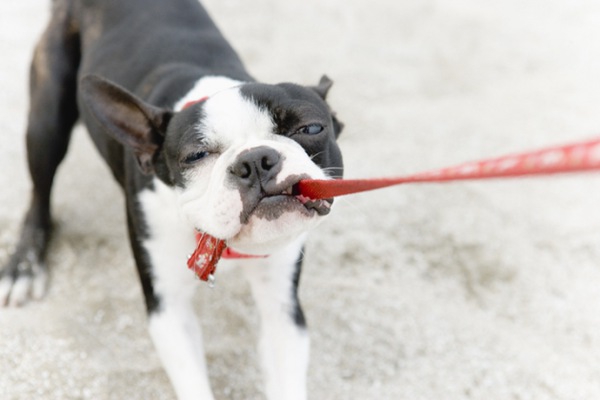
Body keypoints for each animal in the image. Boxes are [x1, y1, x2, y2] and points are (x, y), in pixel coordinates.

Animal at [0, 0, 344, 400]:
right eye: (196, 156)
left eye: (311, 128)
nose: (256, 160)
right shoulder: (168, 310)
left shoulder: (283, 309)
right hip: (47, 118)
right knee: (39, 193)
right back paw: (23, 267)